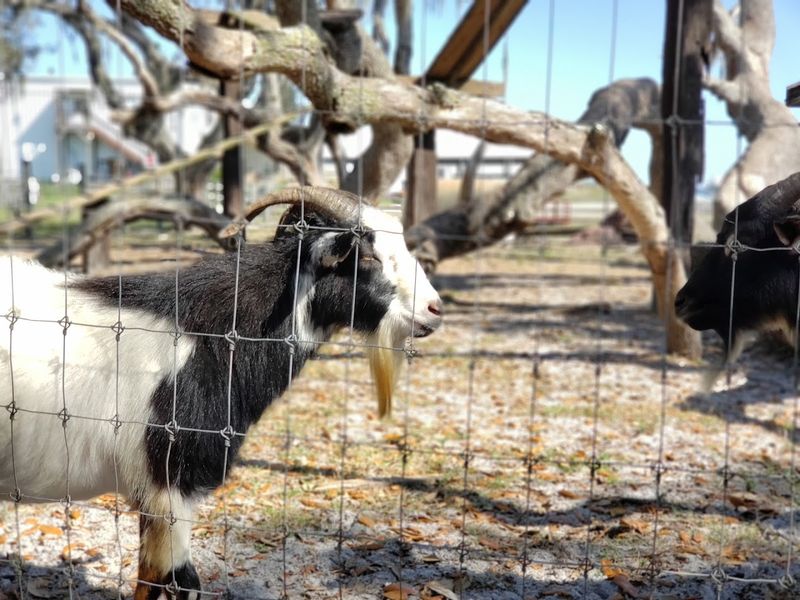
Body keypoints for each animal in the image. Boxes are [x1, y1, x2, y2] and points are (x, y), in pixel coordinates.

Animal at [0, 187, 443, 599]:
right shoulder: (169, 484)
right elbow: (180, 582)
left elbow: (150, 580)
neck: (210, 337)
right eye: (366, 257)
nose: (435, 309)